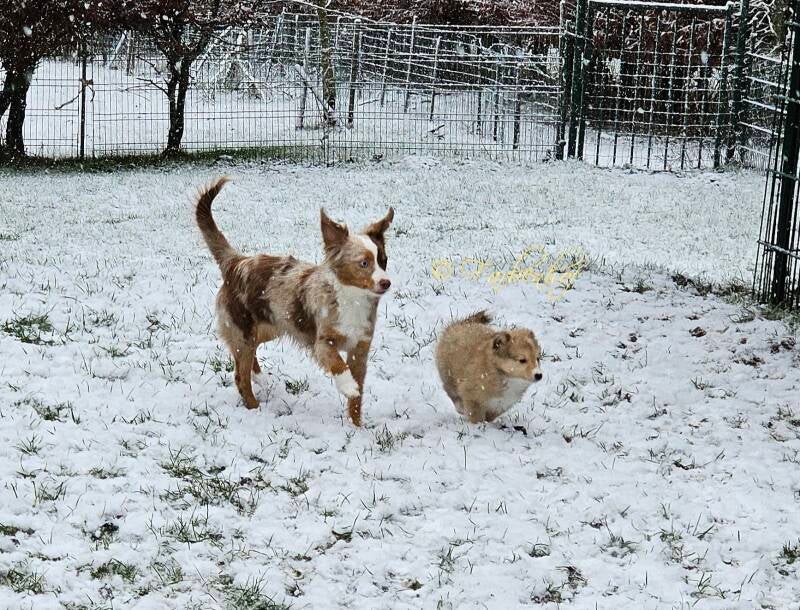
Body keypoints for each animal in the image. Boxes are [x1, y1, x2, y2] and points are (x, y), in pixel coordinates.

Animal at [195, 177, 394, 426]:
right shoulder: (323, 342)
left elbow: (357, 397)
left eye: (383, 260)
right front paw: (348, 386)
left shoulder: (360, 350)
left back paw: (260, 378)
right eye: (364, 263)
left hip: (271, 326)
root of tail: (236, 262)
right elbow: (338, 364)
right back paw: (254, 407)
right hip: (244, 328)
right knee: (240, 376)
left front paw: (356, 426)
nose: (386, 283)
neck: (353, 298)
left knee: (245, 355)